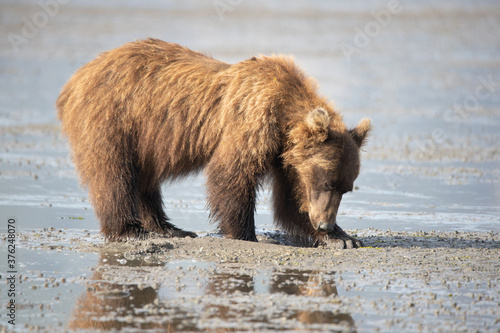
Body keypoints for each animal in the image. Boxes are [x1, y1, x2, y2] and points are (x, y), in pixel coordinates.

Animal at [57, 38, 372, 246]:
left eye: (346, 188)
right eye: (328, 182)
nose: (325, 223)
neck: (284, 113)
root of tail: (76, 78)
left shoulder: (286, 157)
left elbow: (291, 200)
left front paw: (342, 237)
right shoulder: (251, 122)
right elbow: (232, 174)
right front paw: (246, 234)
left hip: (146, 138)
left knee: (145, 179)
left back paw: (168, 227)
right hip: (114, 117)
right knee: (114, 174)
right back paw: (130, 230)